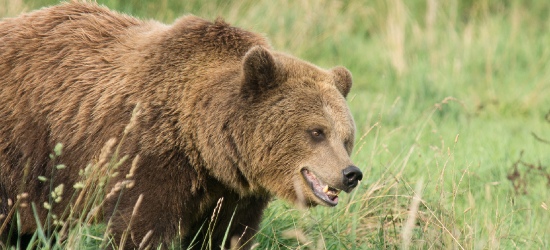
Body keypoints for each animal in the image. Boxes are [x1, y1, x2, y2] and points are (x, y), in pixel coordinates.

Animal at [0, 1, 362, 248]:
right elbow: (141, 228)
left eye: (346, 138)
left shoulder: (233, 192)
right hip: (25, 149)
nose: (350, 173)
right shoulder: (148, 156)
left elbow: (225, 234)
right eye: (316, 132)